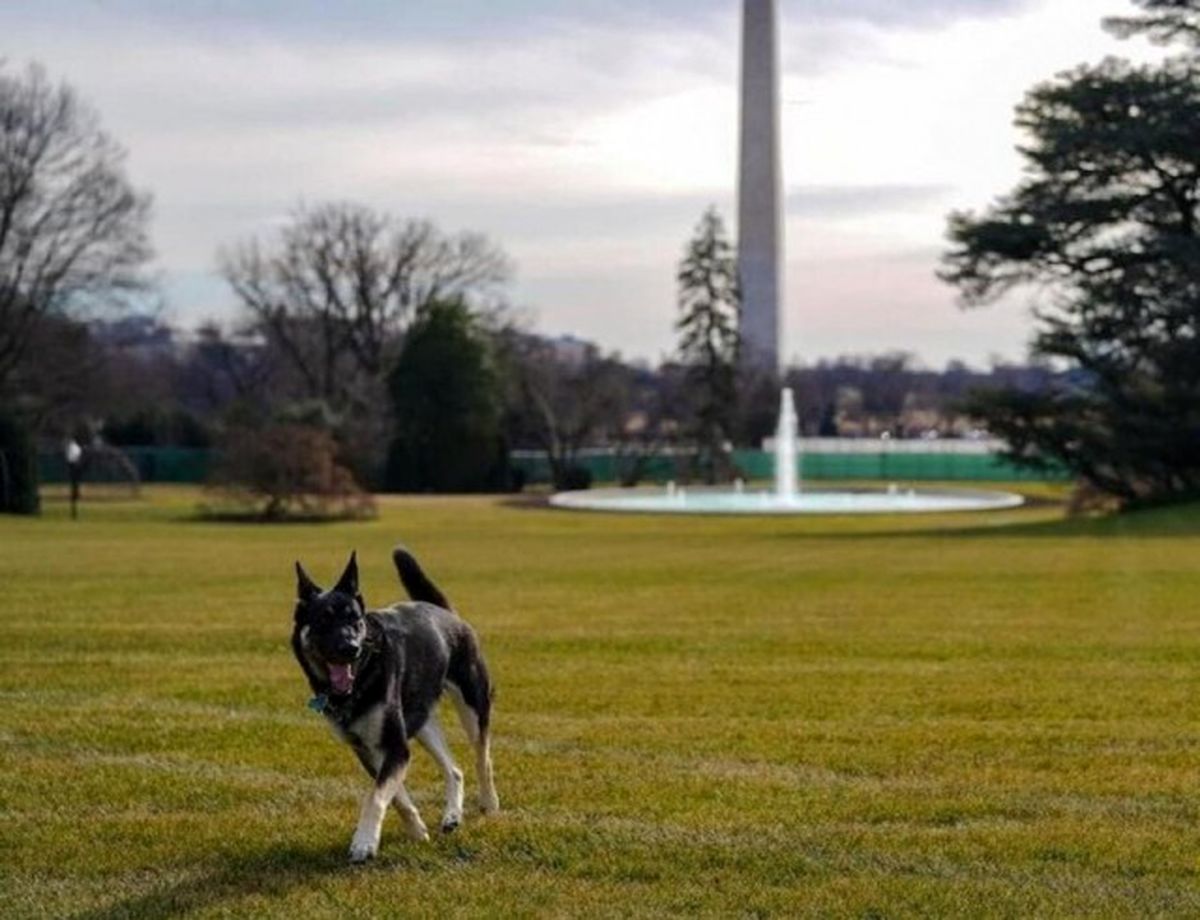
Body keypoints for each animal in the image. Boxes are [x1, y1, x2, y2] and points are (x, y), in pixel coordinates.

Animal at [292, 546, 499, 863]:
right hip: (423, 722)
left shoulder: (395, 746)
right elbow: (395, 797)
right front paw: (416, 831)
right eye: (323, 621)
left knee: (482, 758)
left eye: (356, 620)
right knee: (454, 769)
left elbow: (375, 795)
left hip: (473, 707)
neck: (361, 676)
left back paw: (489, 803)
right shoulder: (370, 749)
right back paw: (452, 816)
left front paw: (364, 842)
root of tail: (445, 611)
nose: (351, 648)